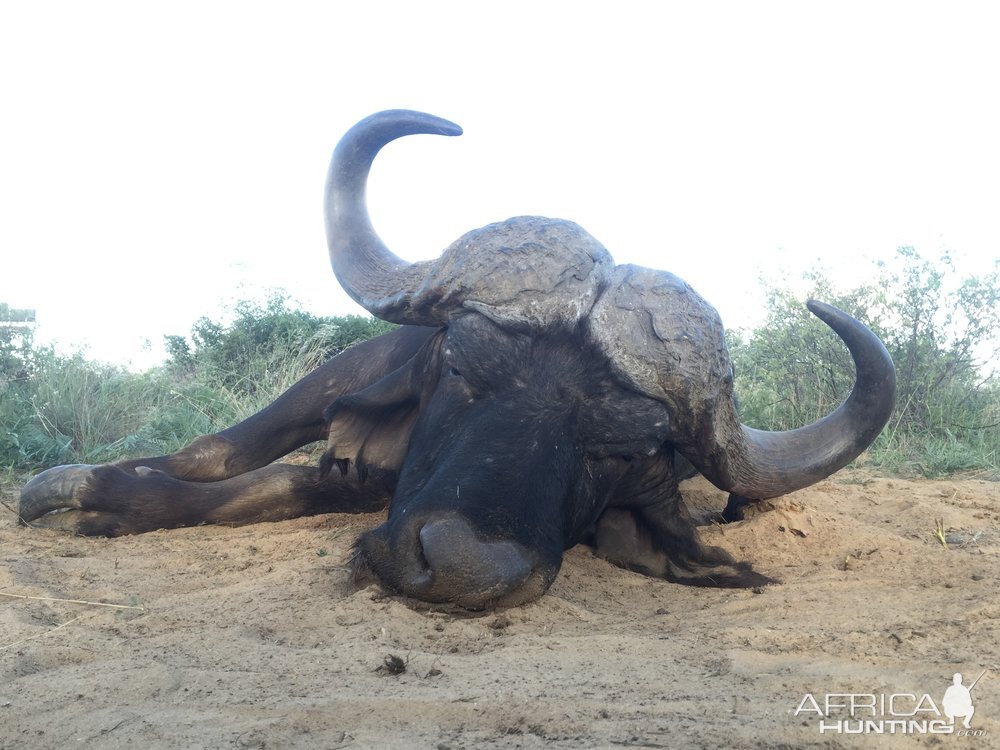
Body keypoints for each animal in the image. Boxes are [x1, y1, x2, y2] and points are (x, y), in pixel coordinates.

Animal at [19, 108, 896, 612]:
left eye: (620, 451)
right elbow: (234, 462)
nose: (463, 570)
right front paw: (88, 489)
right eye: (462, 368)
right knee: (222, 446)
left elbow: (280, 486)